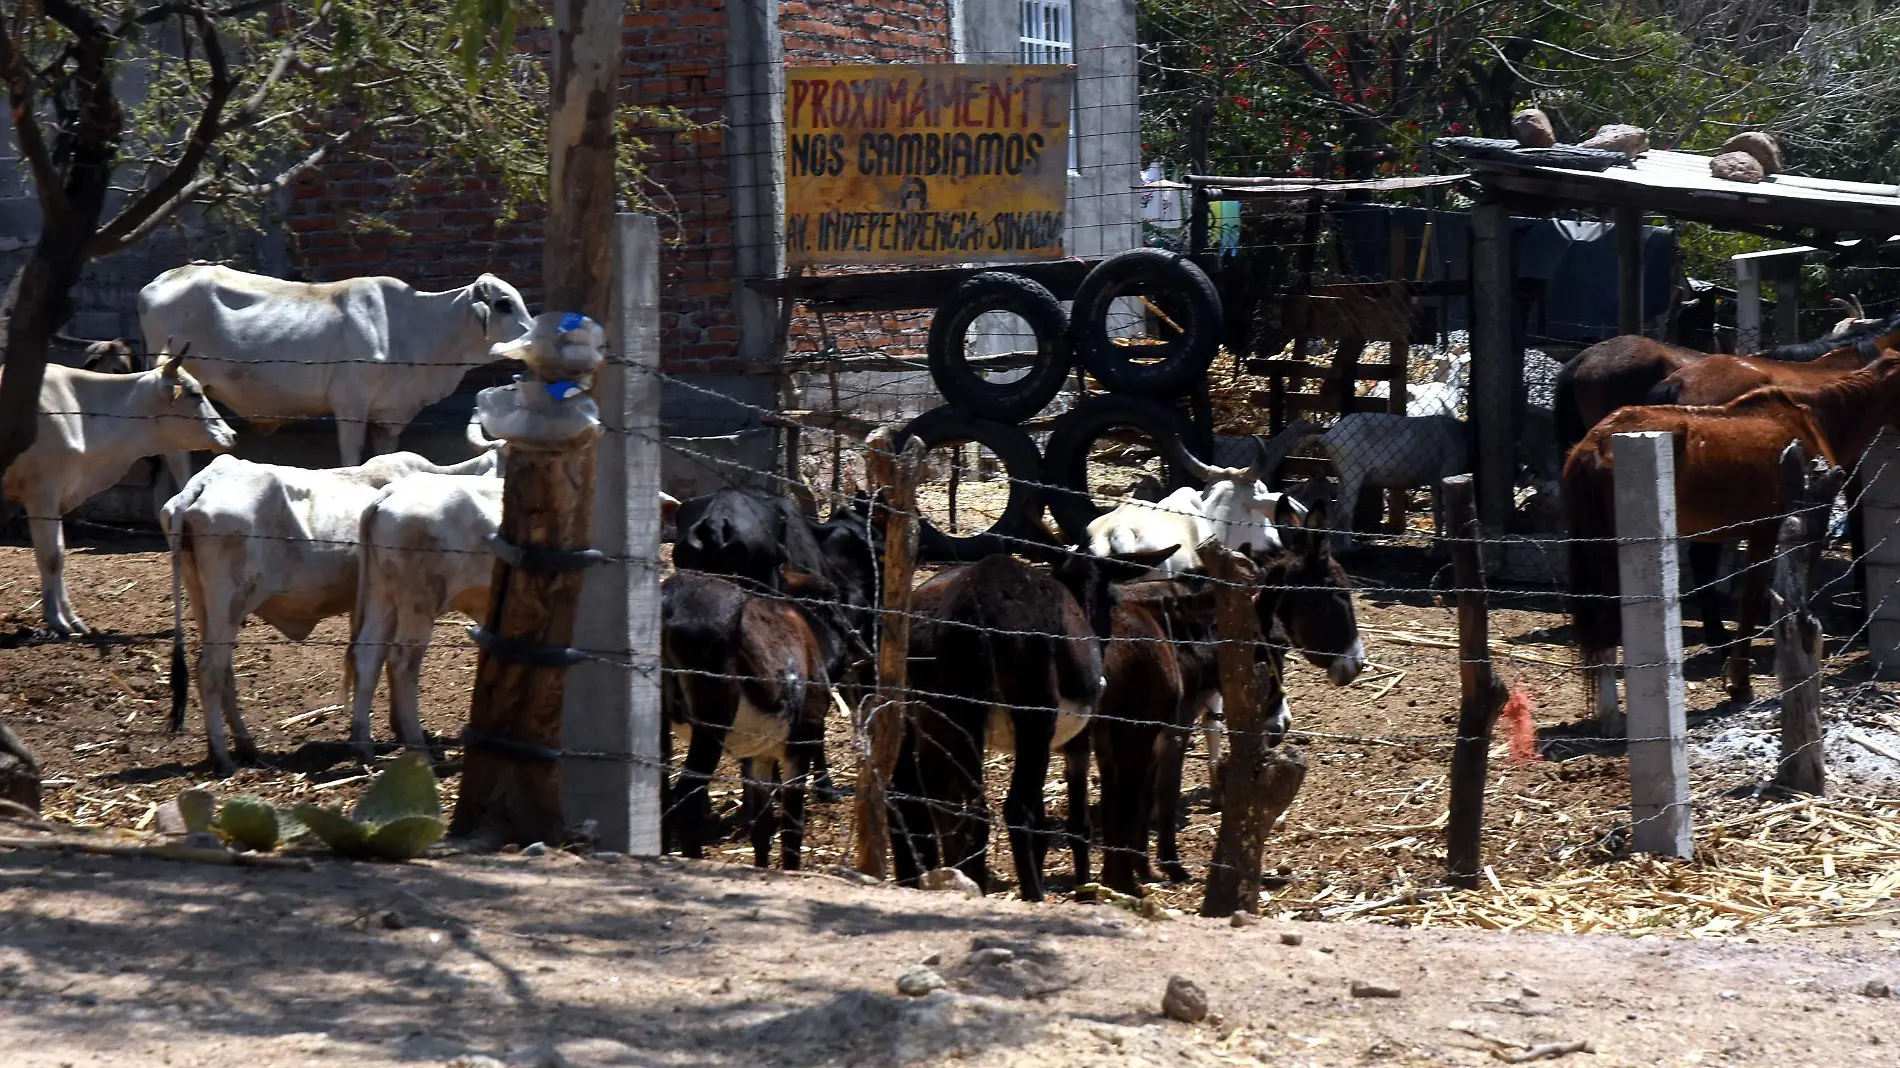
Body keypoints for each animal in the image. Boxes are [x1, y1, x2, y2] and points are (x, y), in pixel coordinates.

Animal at [4, 357, 235, 630]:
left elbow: (59, 555)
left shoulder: (59, 496)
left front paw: (72, 618)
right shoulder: (42, 494)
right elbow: (50, 557)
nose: (231, 435)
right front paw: (56, 620)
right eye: (194, 393)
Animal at [138, 260, 535, 465]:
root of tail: (161, 280)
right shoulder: (350, 405)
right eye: (504, 304)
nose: (532, 339)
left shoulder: (387, 417)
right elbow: (351, 457)